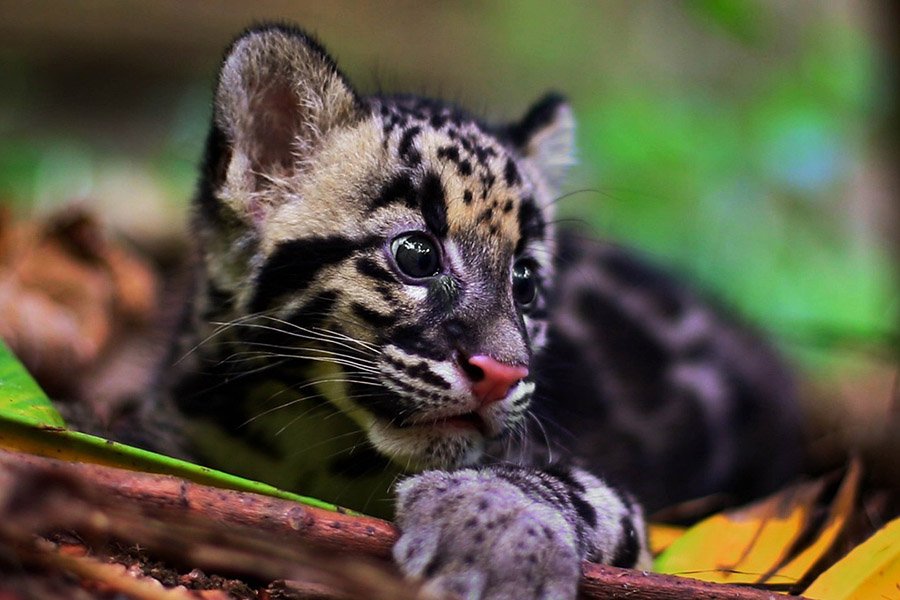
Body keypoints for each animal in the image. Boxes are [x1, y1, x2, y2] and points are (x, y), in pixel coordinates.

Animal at [124, 24, 804, 599]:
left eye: (525, 282)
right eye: (416, 255)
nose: (503, 374)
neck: (310, 441)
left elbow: (584, 491)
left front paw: (496, 529)